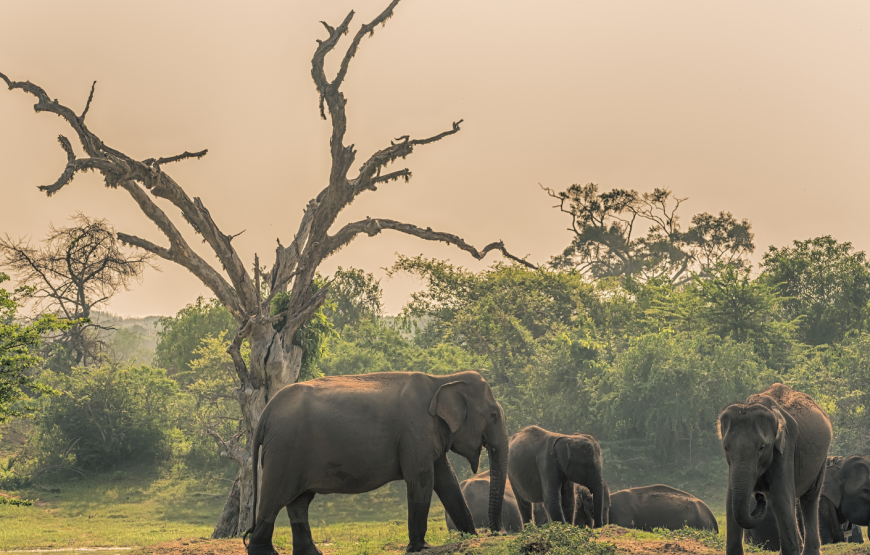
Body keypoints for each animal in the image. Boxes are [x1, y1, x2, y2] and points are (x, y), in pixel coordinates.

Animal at [245, 370, 508, 555]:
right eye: (494, 415)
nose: (498, 533)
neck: (442, 380)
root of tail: (266, 412)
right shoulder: (415, 430)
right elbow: (422, 478)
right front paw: (420, 547)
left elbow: (446, 479)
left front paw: (471, 537)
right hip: (285, 450)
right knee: (276, 496)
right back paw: (263, 552)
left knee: (299, 502)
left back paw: (311, 552)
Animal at [720, 384, 836, 555]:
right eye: (726, 447)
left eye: (762, 447)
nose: (759, 495)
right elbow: (730, 500)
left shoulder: (786, 447)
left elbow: (781, 496)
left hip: (821, 460)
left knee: (809, 499)